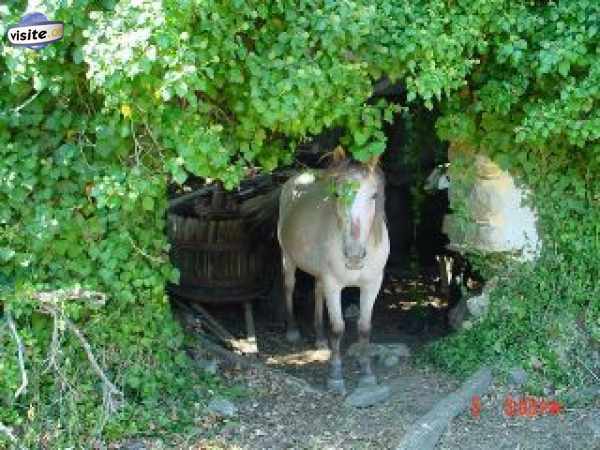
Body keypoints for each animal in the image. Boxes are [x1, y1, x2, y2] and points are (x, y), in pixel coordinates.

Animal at [276, 153, 390, 392]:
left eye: (374, 195)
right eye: (337, 193)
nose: (354, 255)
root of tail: (298, 177)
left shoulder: (372, 284)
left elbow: (364, 328)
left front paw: (367, 374)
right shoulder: (334, 284)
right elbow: (338, 328)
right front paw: (335, 377)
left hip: (321, 276)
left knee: (318, 292)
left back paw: (320, 338)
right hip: (288, 258)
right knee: (289, 287)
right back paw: (292, 331)